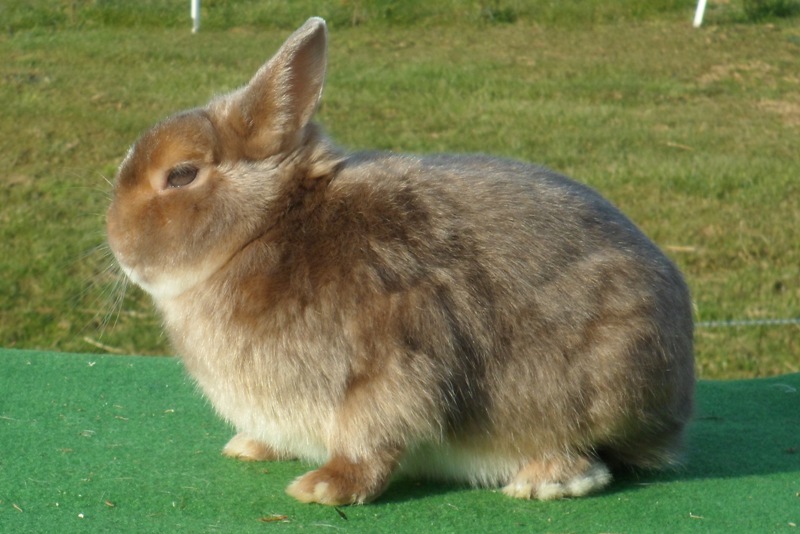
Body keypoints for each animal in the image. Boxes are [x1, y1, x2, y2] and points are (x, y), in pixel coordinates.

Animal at [106, 17, 694, 506]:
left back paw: (542, 480)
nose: (116, 239)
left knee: (591, 457)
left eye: (181, 174)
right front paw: (250, 446)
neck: (268, 228)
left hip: (578, 386)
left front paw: (324, 489)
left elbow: (373, 434)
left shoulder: (395, 357)